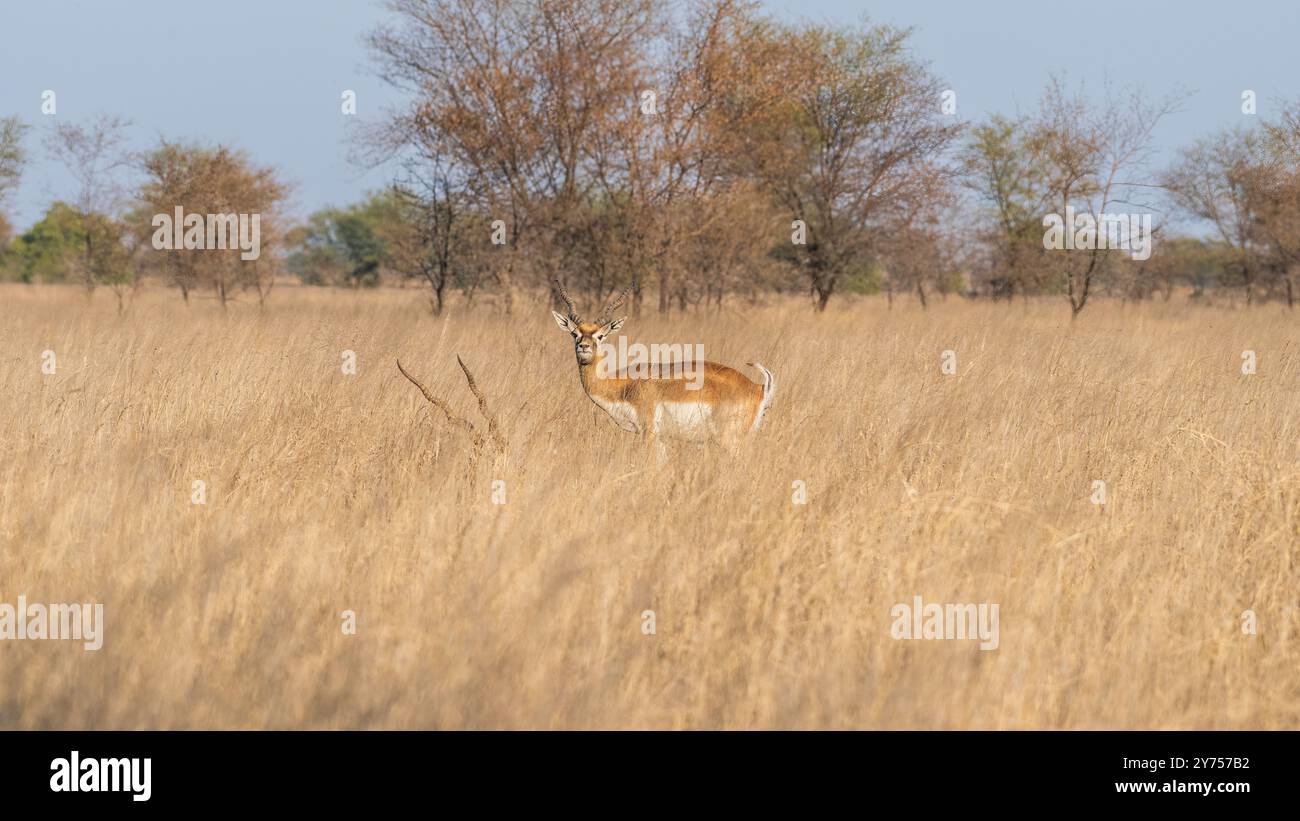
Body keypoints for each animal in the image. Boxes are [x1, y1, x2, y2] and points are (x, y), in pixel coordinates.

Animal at [551, 277, 774, 446]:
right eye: (574, 333)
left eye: (600, 336)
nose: (584, 347)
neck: (624, 385)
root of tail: (759, 387)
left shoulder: (649, 432)